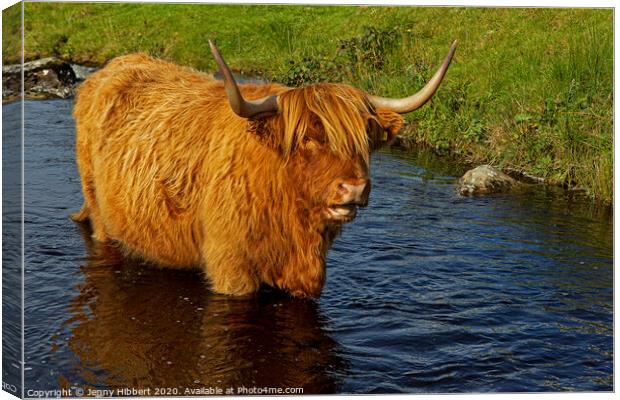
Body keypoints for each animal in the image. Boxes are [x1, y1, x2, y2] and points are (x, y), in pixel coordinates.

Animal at [72, 40, 458, 296]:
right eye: (308, 138)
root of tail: (113, 66)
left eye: (363, 138)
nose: (354, 188)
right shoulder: (231, 268)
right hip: (99, 210)